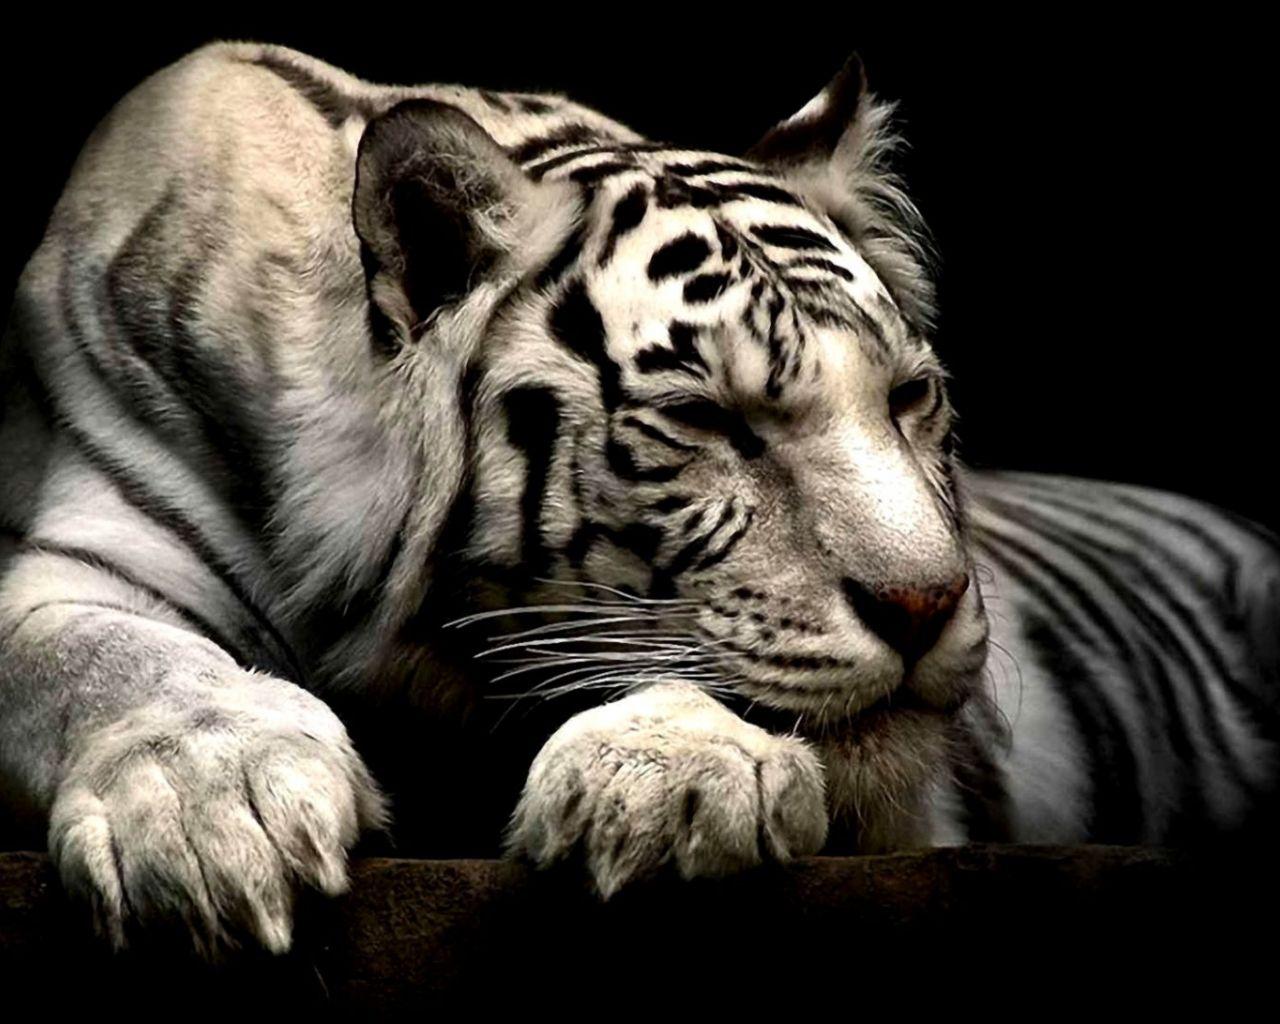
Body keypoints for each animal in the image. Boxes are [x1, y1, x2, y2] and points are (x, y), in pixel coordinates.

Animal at [0, 41, 1277, 958]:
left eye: (909, 397)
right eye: (710, 421)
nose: (925, 605)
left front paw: (668, 782)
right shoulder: (78, 551)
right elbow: (100, 657)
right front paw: (211, 808)